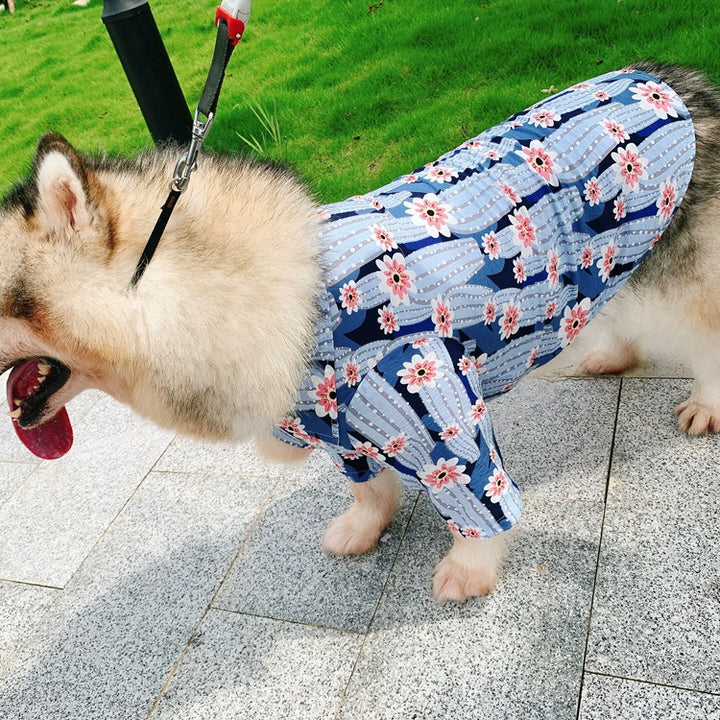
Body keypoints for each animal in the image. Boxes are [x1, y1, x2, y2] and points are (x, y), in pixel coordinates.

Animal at [1, 62, 720, 600]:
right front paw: (363, 527)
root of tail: (672, 77)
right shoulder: (339, 426)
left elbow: (477, 503)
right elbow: (367, 485)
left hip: (681, 267)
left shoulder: (438, 411)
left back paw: (705, 404)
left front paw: (469, 572)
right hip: (617, 253)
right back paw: (608, 356)